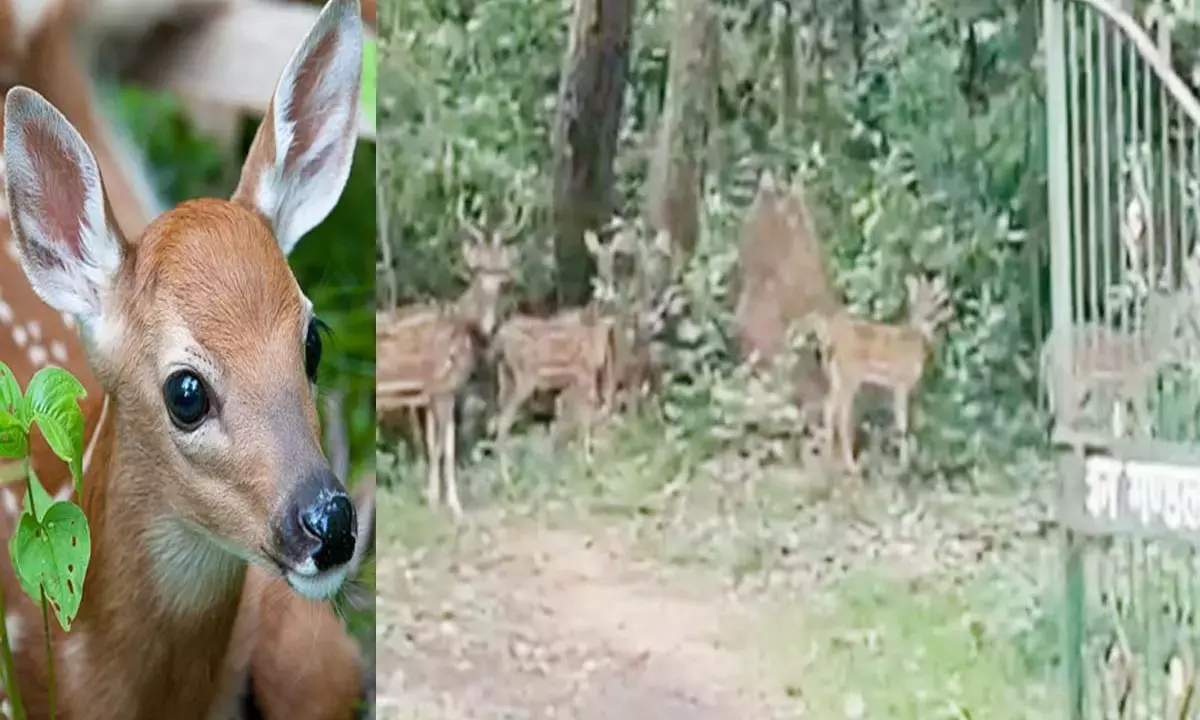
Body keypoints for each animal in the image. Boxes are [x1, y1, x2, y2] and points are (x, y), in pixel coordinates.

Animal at [376, 195, 519, 519]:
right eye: (478, 269)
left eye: (501, 269)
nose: (504, 281)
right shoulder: (443, 387)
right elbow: (447, 447)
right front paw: (454, 506)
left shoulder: (431, 393)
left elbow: (434, 445)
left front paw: (431, 499)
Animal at [809, 275, 954, 474]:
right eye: (919, 300)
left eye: (935, 299)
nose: (929, 315)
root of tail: (829, 340)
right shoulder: (900, 382)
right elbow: (902, 424)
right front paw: (903, 466)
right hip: (849, 376)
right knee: (841, 413)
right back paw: (850, 465)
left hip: (837, 376)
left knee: (829, 406)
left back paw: (829, 457)